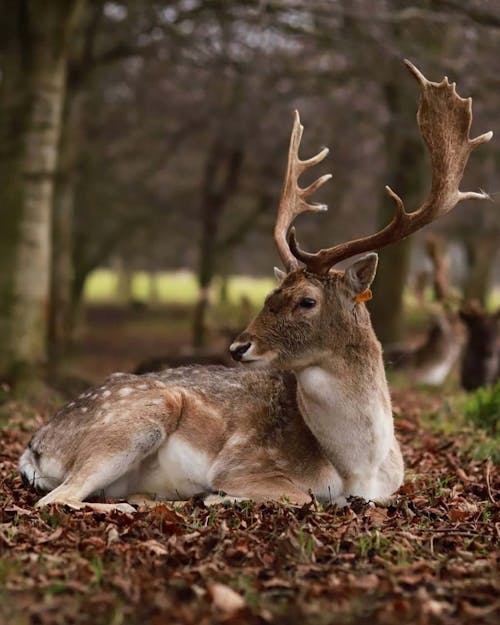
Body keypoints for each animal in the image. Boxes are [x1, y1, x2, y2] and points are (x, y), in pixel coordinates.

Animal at [19, 62, 492, 512]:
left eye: (306, 301)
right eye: (269, 296)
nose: (238, 346)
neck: (360, 467)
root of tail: (35, 447)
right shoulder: (242, 463)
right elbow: (301, 495)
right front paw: (216, 496)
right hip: (138, 415)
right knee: (55, 498)